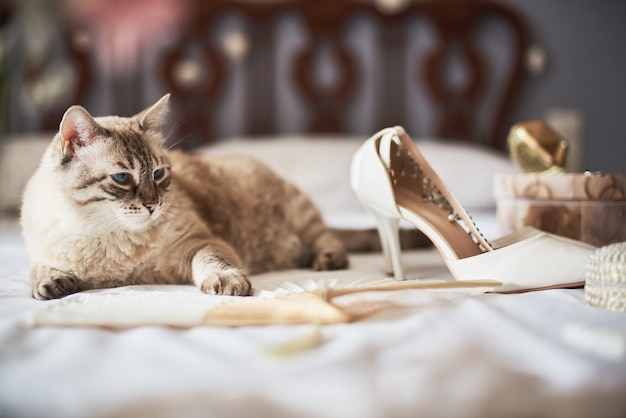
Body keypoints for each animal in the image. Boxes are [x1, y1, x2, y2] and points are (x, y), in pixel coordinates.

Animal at [20, 93, 346, 298]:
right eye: (123, 178)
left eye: (158, 174)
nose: (153, 205)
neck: (108, 235)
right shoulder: (43, 255)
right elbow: (39, 271)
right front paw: (52, 285)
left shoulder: (198, 243)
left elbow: (214, 263)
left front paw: (226, 282)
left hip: (301, 217)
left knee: (328, 237)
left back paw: (328, 259)